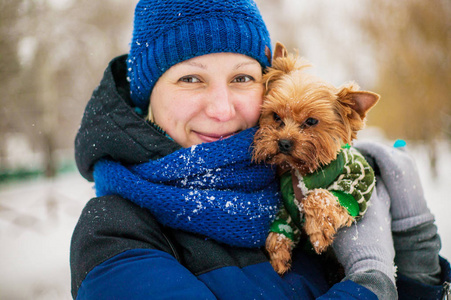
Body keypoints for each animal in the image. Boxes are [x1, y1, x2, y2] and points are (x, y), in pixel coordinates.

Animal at [254, 42, 382, 274]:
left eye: (312, 121)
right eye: (276, 117)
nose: (283, 142)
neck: (301, 170)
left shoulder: (358, 180)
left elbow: (319, 196)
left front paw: (318, 232)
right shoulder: (285, 208)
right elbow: (280, 230)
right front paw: (278, 256)